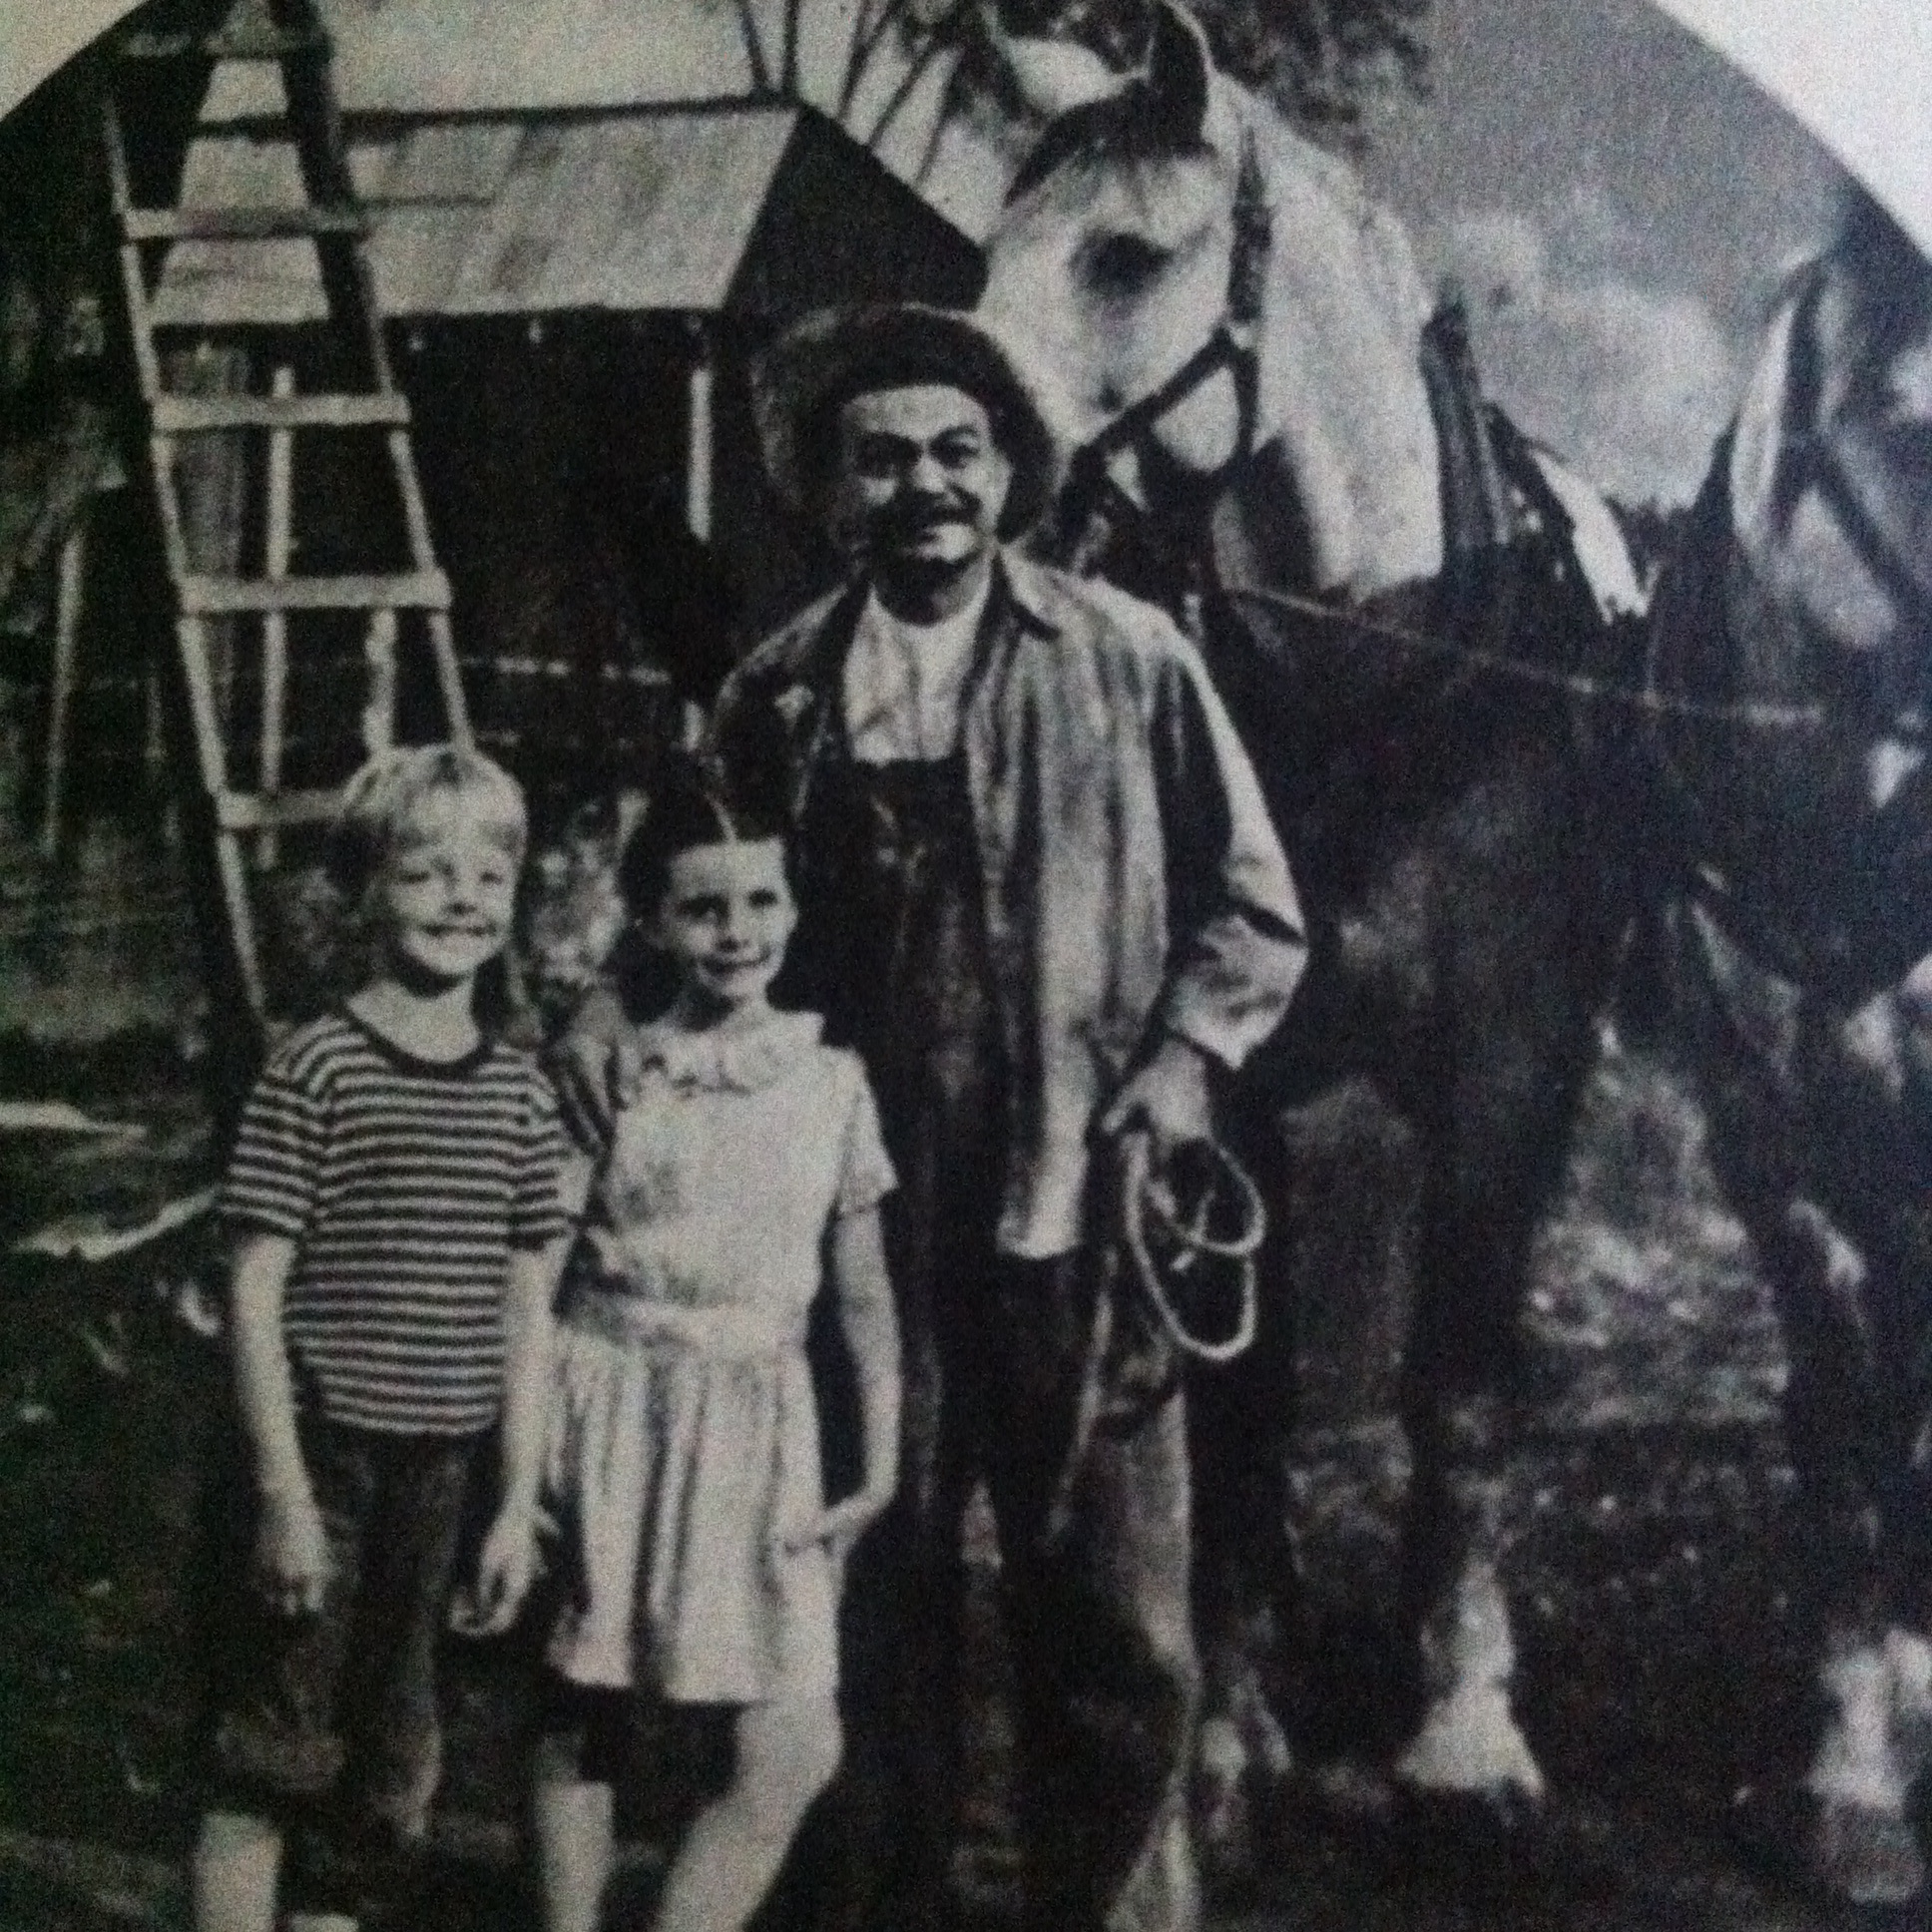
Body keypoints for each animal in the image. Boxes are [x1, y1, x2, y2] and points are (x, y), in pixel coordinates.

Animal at [981, 0, 1932, 1901]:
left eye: (1122, 254)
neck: (1377, 671)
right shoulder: (1236, 1088)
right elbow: (1251, 1405)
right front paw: (1233, 1739)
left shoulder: (1513, 1069)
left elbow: (1462, 1392)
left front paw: (1462, 1736)